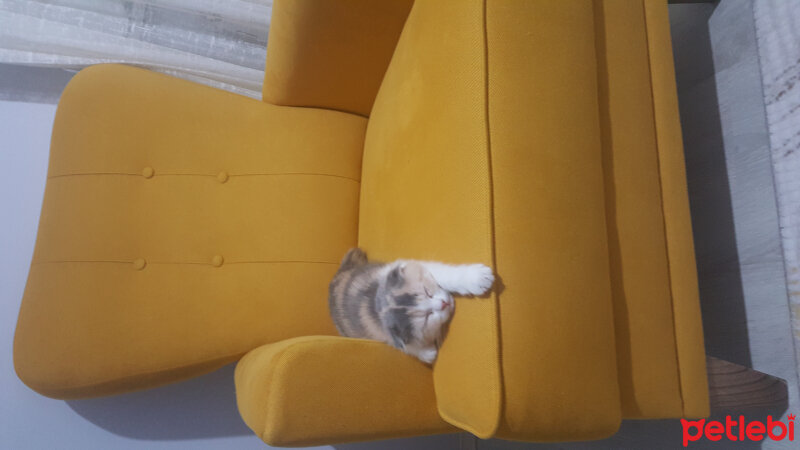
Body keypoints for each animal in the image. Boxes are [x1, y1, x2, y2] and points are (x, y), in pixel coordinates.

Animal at [326, 248, 494, 364]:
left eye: (427, 292)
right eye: (427, 317)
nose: (444, 303)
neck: (377, 302)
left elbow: (447, 276)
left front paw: (478, 278)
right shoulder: (387, 335)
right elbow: (407, 347)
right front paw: (427, 352)